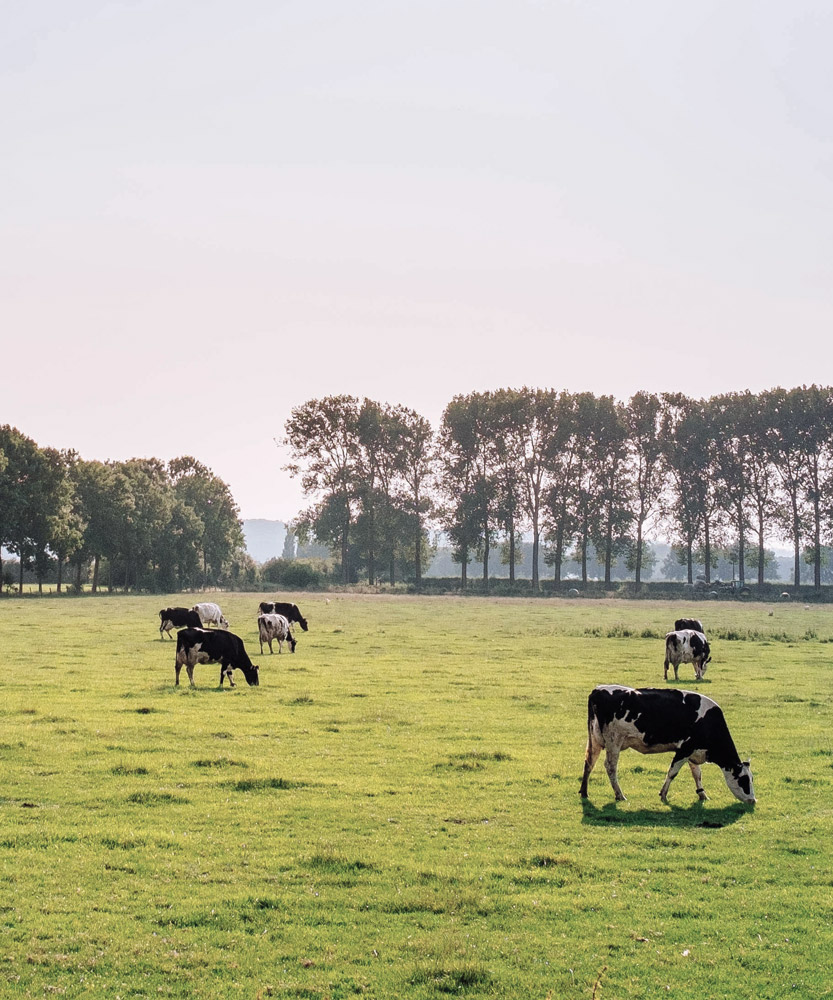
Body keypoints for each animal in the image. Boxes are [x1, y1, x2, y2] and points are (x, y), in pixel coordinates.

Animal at [580, 688, 752, 804]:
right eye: (744, 780)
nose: (753, 800)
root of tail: (597, 690)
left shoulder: (693, 751)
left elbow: (697, 774)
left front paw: (702, 794)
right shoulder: (684, 749)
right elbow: (672, 772)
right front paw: (663, 794)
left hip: (595, 740)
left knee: (589, 762)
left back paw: (584, 792)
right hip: (614, 742)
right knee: (610, 767)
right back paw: (619, 795)